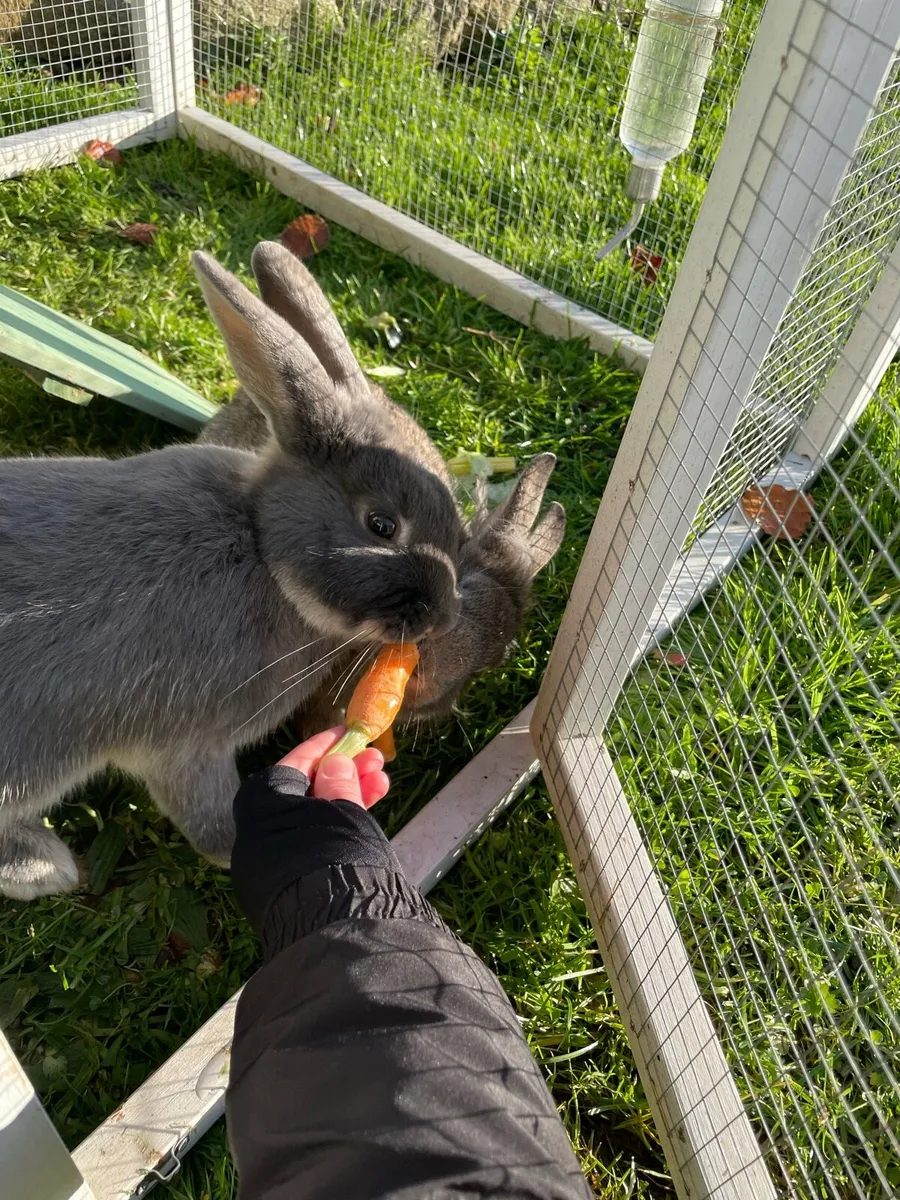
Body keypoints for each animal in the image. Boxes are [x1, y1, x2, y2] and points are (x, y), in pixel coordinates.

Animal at [0, 241, 466, 900]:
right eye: (381, 525)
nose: (442, 617)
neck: (263, 550)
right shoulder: (185, 744)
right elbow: (205, 808)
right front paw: (233, 851)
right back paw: (46, 868)